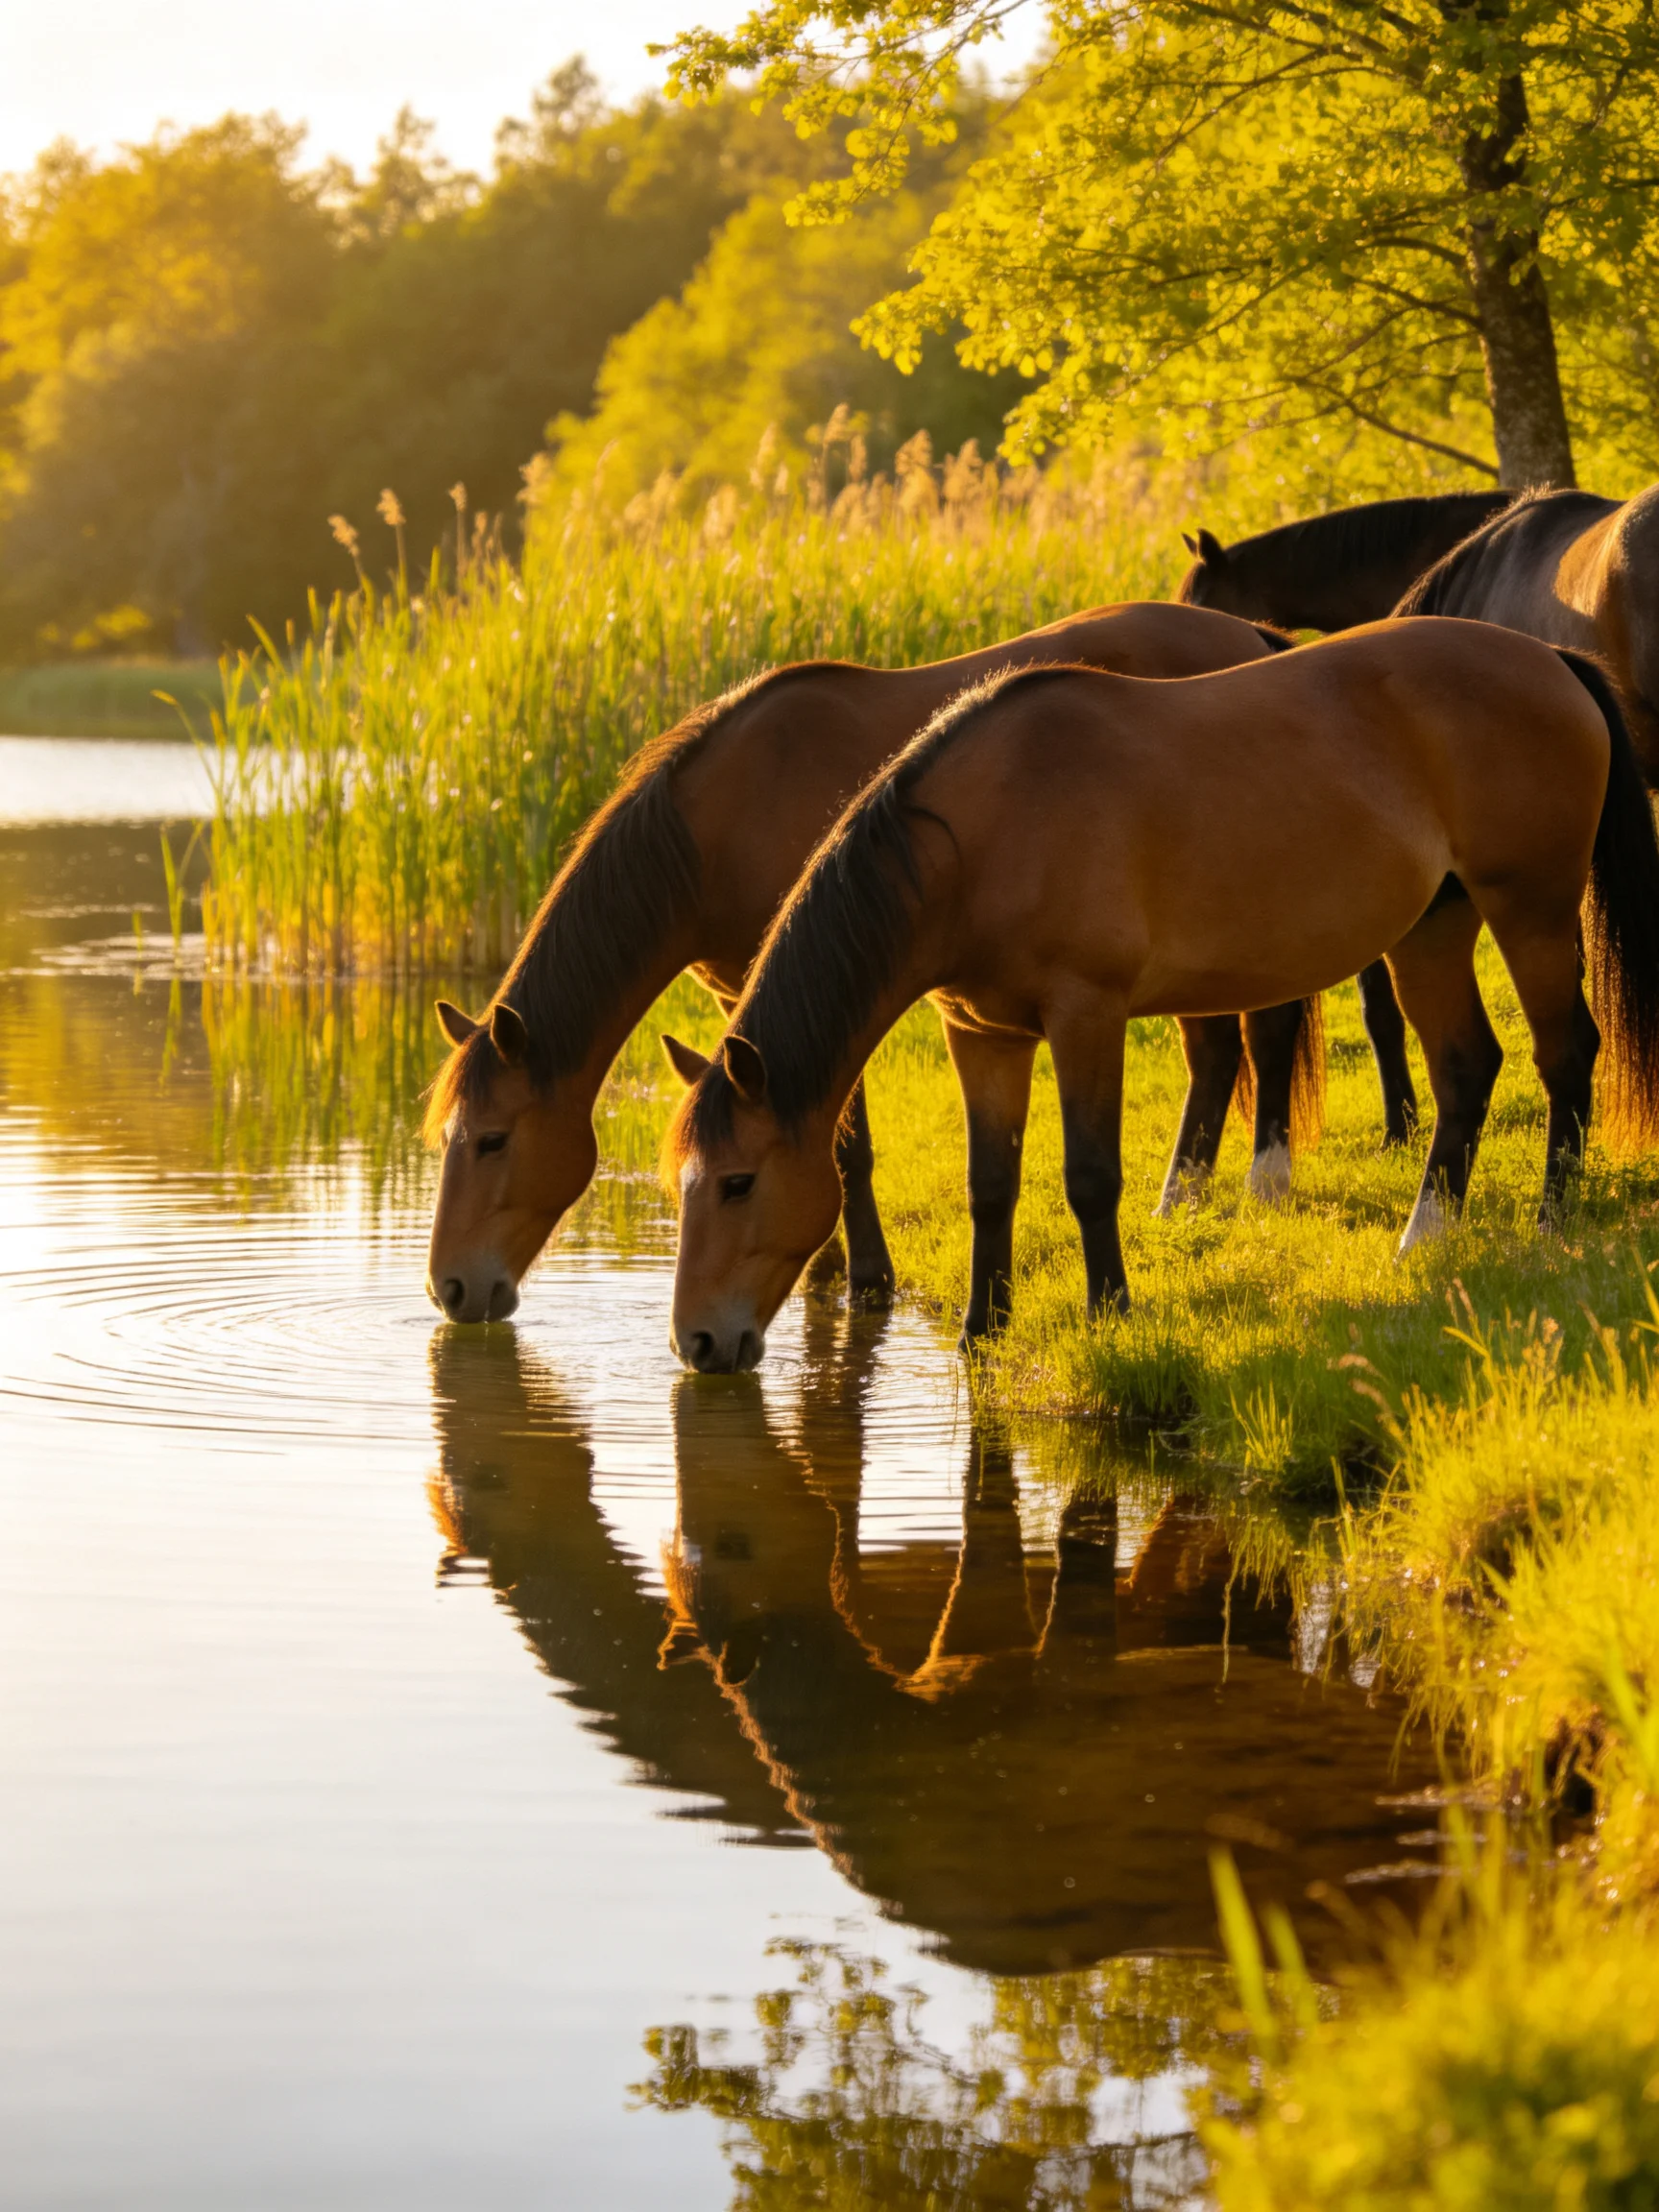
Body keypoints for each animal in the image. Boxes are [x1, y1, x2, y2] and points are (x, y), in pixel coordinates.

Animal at [423, 601, 1298, 1323]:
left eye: (491, 1140)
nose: (452, 1290)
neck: (719, 823)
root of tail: (1249, 633)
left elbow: (849, 1147)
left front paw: (863, 1276)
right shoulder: (748, 999)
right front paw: (823, 1267)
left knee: (1266, 1034)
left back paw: (1258, 1183)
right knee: (1216, 1055)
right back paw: (1180, 1204)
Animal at [665, 620, 1659, 1371]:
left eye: (738, 1182)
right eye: (686, 1185)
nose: (698, 1344)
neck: (980, 834)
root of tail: (1549, 658)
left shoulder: (1087, 1016)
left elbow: (1089, 1176)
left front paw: (1110, 1312)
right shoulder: (983, 1034)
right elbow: (991, 1182)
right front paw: (982, 1330)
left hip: (1529, 908)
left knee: (1564, 1053)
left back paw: (1550, 1222)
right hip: (1434, 928)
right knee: (1465, 1068)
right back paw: (1426, 1238)